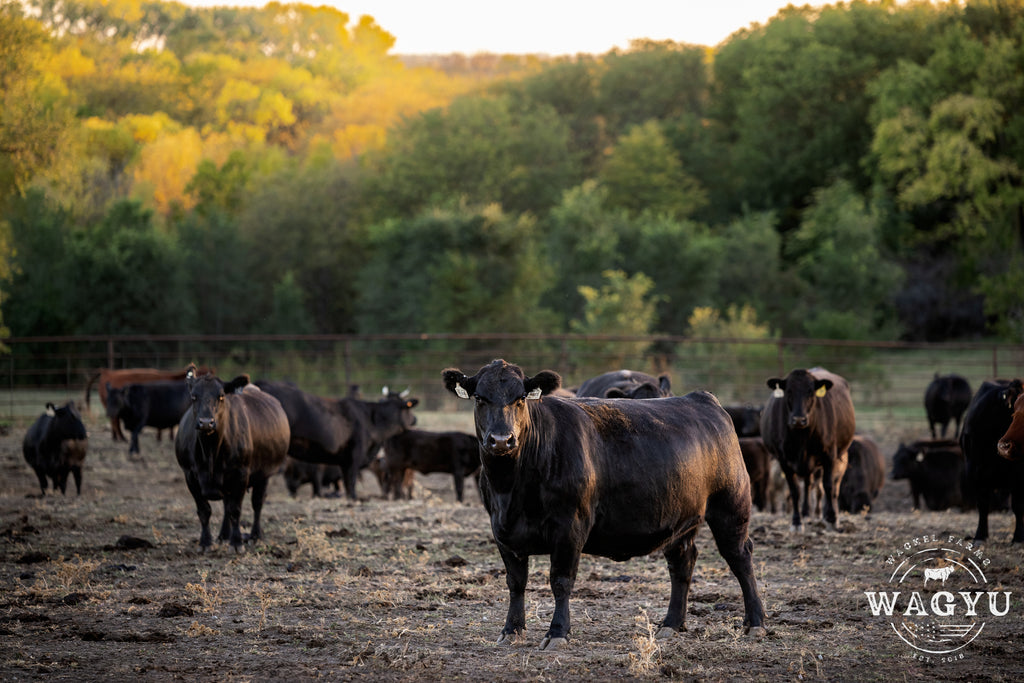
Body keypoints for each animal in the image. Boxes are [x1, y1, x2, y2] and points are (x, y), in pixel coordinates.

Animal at [175, 370, 288, 552]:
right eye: (193, 396)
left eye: (221, 396)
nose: (206, 422)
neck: (210, 452)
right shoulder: (190, 475)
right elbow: (204, 510)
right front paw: (205, 542)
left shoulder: (240, 473)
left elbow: (236, 510)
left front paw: (236, 543)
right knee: (227, 505)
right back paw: (224, 535)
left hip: (265, 473)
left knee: (257, 503)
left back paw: (255, 535)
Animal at [254, 378, 415, 501]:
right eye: (408, 407)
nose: (415, 419)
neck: (371, 419)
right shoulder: (355, 456)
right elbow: (351, 481)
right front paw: (355, 499)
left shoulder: (344, 461)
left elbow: (347, 484)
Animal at [444, 360, 765, 651]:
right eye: (480, 398)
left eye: (521, 398)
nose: (502, 440)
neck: (512, 488)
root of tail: (702, 399)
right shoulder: (502, 530)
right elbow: (515, 582)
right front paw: (511, 630)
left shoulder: (570, 526)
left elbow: (561, 580)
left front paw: (557, 633)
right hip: (681, 518)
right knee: (682, 562)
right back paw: (671, 625)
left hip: (731, 507)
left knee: (740, 557)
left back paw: (755, 623)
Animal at [761, 366, 856, 532]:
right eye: (789, 391)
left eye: (811, 392)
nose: (799, 419)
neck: (801, 439)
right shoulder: (784, 460)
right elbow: (794, 491)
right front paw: (796, 522)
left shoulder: (829, 455)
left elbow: (828, 486)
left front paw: (831, 519)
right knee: (807, 483)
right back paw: (805, 513)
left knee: (831, 488)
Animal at [958, 378, 1024, 544]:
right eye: (1015, 410)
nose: (1005, 446)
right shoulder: (976, 471)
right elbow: (982, 505)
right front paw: (980, 535)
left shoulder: (1019, 476)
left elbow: (1018, 506)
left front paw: (1018, 537)